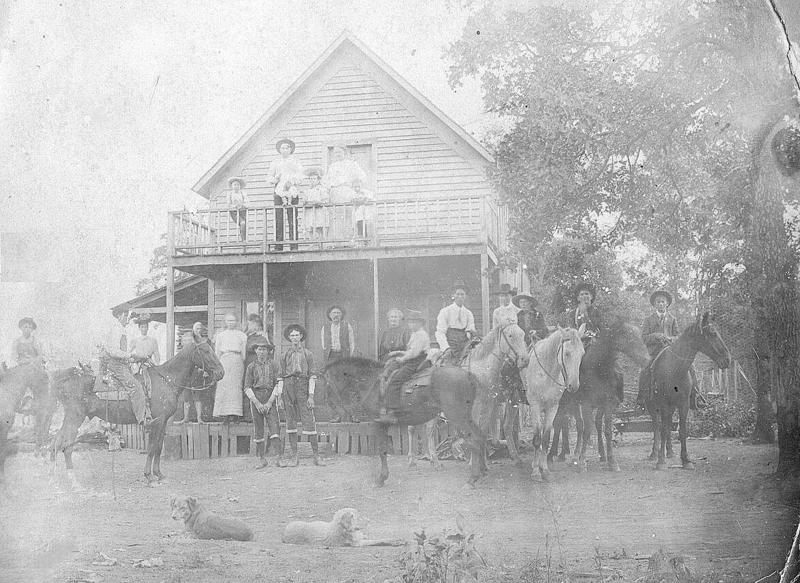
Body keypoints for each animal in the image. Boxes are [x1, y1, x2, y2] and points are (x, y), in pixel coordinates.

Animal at [51, 335, 224, 485]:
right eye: (206, 351)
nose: (221, 372)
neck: (166, 379)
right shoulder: (157, 421)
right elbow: (152, 448)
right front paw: (149, 476)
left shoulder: (163, 422)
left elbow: (159, 447)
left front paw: (159, 474)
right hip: (75, 417)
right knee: (64, 445)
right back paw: (73, 481)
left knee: (57, 442)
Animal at [324, 324, 530, 487]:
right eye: (511, 335)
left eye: (523, 334)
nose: (524, 359)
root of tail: (467, 375)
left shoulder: (377, 422)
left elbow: (382, 450)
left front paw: (381, 478)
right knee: (428, 431)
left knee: (469, 436)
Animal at [522, 326, 585, 481]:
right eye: (567, 353)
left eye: (582, 353)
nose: (574, 385)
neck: (546, 373)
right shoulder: (535, 406)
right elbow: (537, 438)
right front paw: (536, 471)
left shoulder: (553, 407)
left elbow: (545, 437)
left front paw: (544, 469)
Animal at [573, 317, 651, 473]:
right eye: (628, 337)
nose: (647, 359)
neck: (599, 367)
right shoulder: (586, 404)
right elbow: (586, 431)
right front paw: (582, 462)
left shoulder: (608, 404)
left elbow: (608, 431)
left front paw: (612, 462)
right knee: (578, 426)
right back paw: (574, 457)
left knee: (597, 423)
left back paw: (602, 455)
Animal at [642, 312, 730, 470]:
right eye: (713, 333)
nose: (728, 359)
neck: (674, 369)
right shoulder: (663, 405)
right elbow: (662, 430)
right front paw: (661, 461)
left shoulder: (683, 405)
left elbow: (682, 431)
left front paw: (686, 460)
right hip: (653, 407)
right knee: (657, 427)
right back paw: (654, 454)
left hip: (671, 408)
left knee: (667, 426)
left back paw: (670, 452)